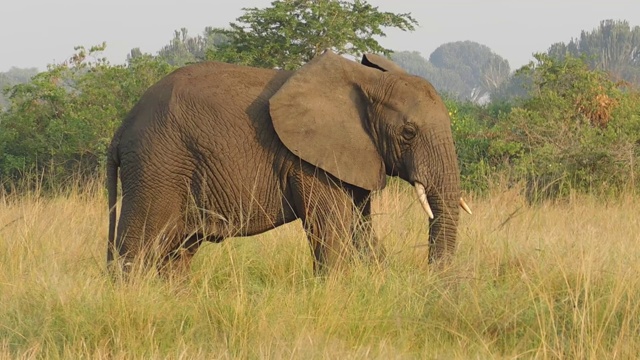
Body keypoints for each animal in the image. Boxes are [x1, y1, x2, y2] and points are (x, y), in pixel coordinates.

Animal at [107, 50, 472, 276]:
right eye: (408, 133)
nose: (433, 281)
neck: (365, 81)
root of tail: (122, 128)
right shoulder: (310, 162)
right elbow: (331, 230)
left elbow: (361, 229)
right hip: (158, 163)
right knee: (138, 246)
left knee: (178, 253)